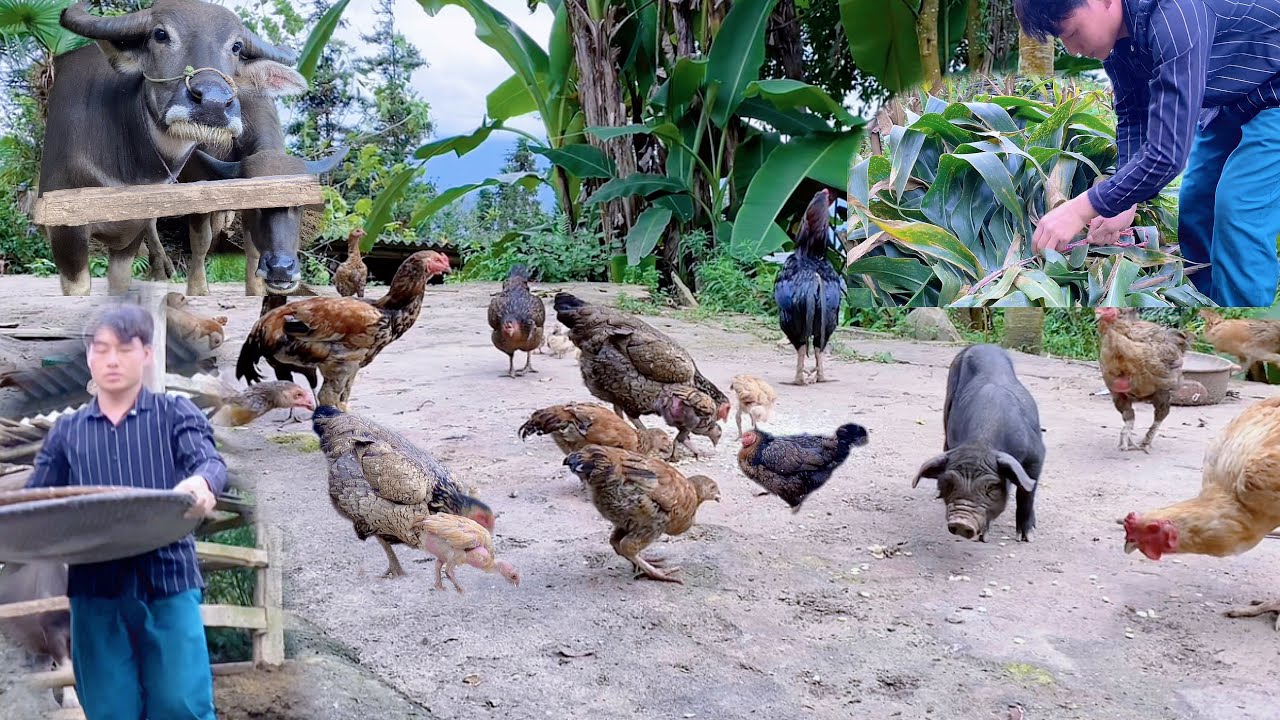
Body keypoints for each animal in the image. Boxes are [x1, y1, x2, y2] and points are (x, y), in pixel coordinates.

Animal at [912, 343, 1043, 542]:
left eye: (990, 487)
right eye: (949, 483)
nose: (961, 523)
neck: (982, 441)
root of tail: (981, 344)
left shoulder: (1036, 455)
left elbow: (1027, 492)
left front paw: (1026, 537)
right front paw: (984, 536)